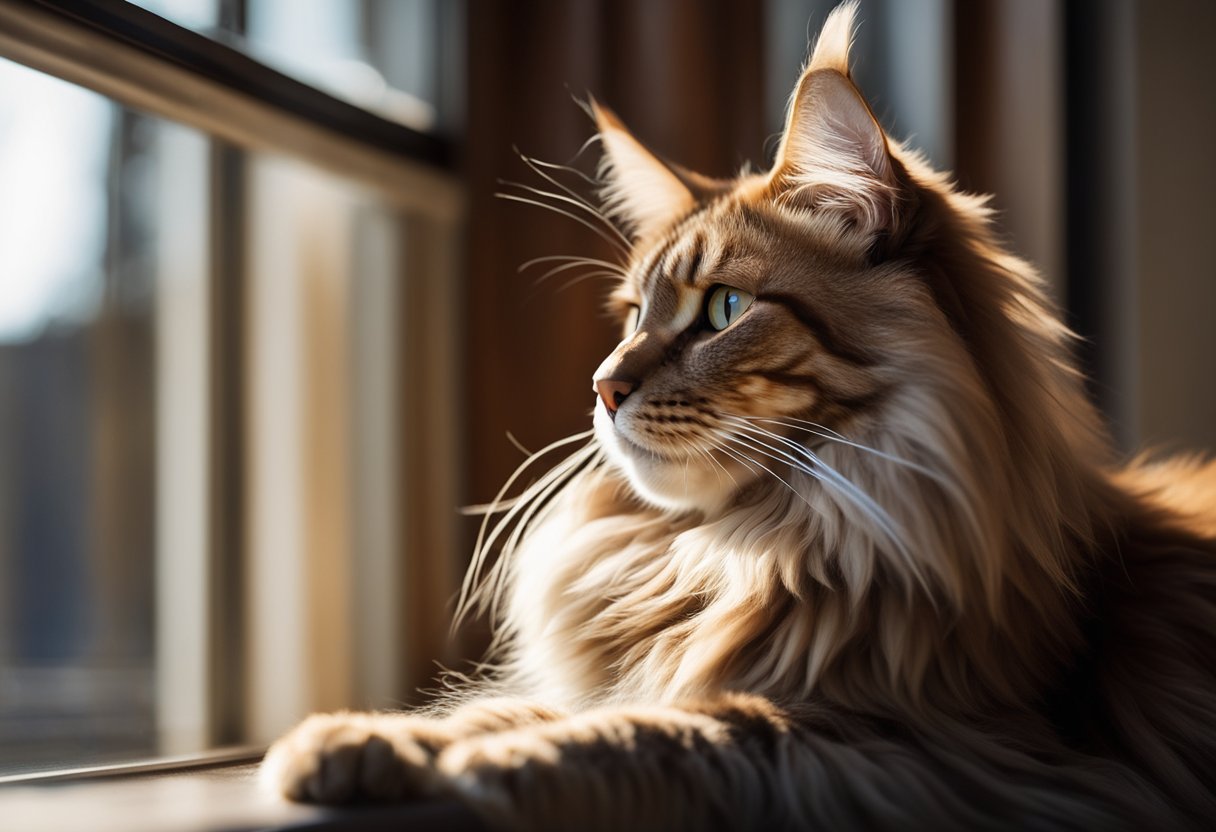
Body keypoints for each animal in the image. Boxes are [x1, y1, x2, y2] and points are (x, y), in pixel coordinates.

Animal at [259, 3, 1216, 827]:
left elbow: (657, 731)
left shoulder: (929, 746)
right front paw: (359, 739)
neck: (745, 549)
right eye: (631, 318)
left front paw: (476, 763)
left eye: (723, 309)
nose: (602, 387)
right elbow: (517, 707)